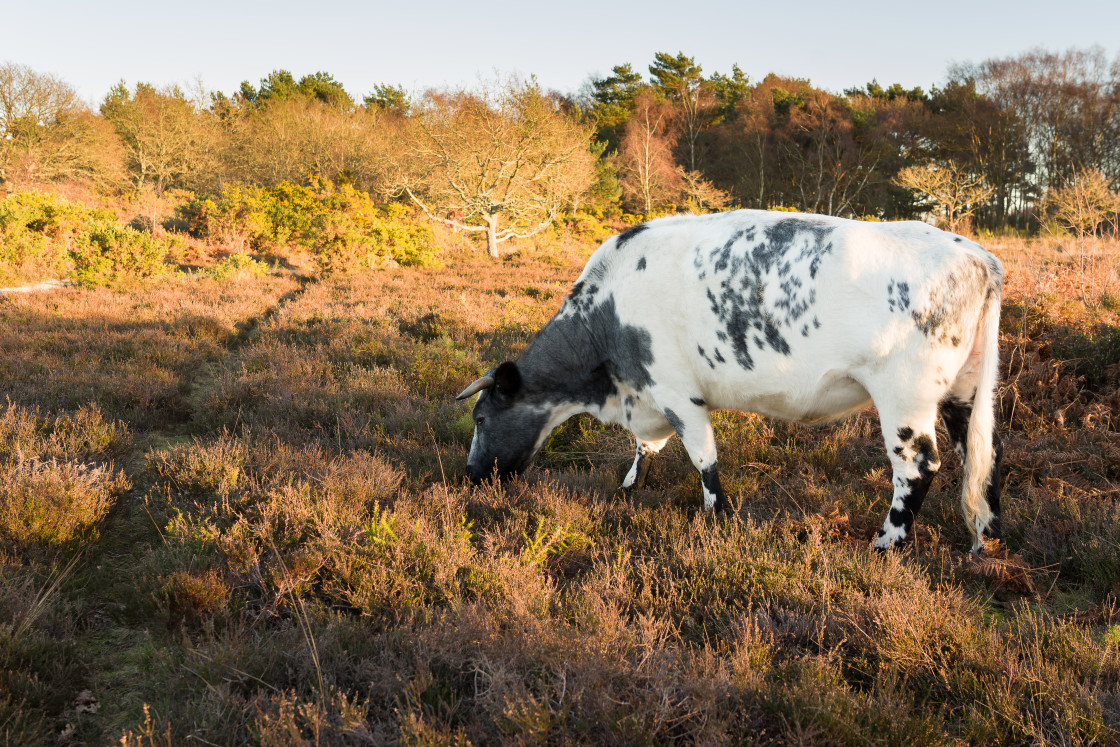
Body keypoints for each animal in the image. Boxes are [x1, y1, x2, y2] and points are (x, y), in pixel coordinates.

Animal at [454, 207, 1008, 553]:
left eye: (480, 417)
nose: (471, 474)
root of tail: (977, 255)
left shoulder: (676, 391)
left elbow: (703, 458)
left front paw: (717, 515)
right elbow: (645, 448)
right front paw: (631, 486)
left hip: (904, 398)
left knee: (918, 467)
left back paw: (887, 543)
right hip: (965, 390)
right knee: (982, 455)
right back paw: (988, 538)